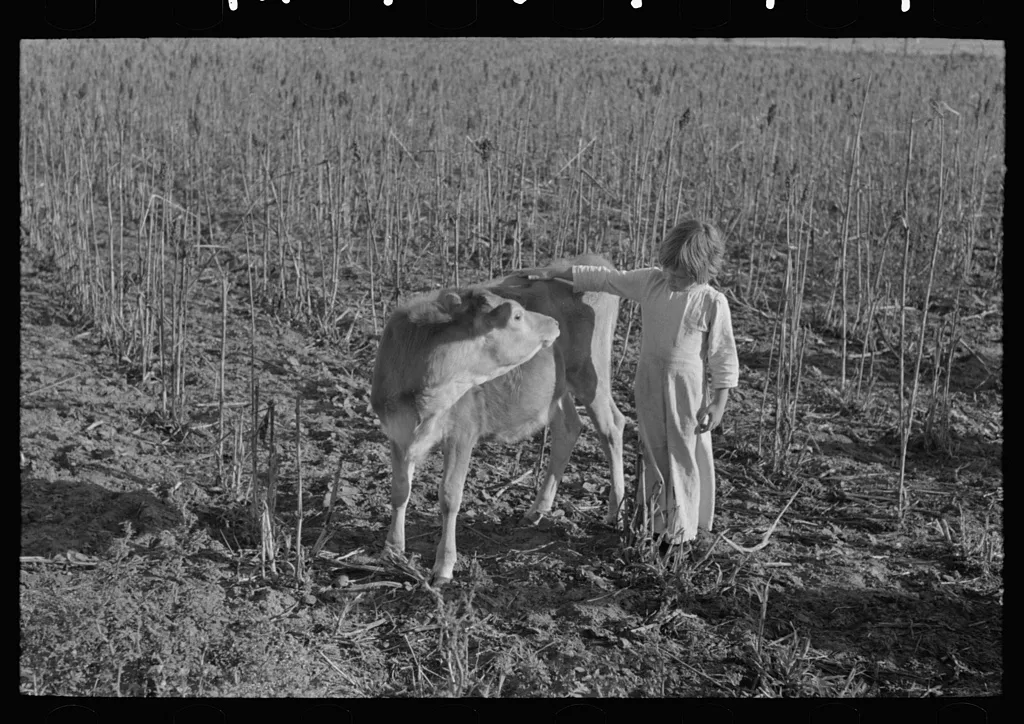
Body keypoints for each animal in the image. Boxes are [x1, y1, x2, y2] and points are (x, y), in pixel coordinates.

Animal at [369, 255, 626, 584]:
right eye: (517, 315)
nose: (552, 323)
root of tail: (594, 259)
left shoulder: (462, 431)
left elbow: (450, 496)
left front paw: (444, 566)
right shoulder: (397, 433)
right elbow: (400, 489)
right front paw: (392, 549)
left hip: (590, 373)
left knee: (611, 427)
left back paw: (615, 511)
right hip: (557, 387)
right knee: (569, 426)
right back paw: (538, 509)